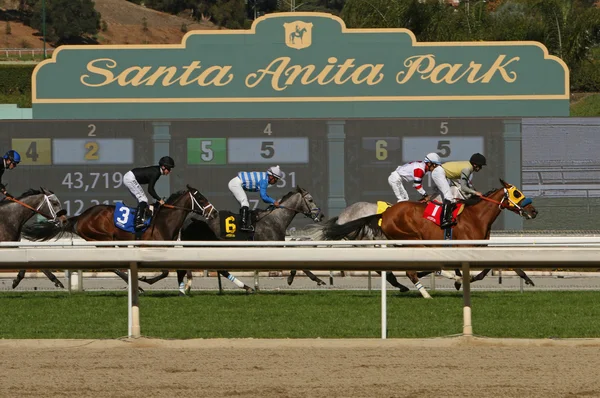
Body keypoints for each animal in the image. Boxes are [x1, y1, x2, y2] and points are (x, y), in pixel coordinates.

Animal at [21, 184, 213, 292]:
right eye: (201, 198)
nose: (213, 212)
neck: (164, 220)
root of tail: (81, 217)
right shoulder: (154, 248)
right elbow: (165, 272)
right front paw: (145, 280)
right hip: (104, 239)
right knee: (112, 265)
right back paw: (138, 286)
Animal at [180, 185, 326, 290]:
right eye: (310, 200)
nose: (321, 215)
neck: (275, 219)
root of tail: (191, 220)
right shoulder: (274, 246)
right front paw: (316, 279)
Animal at [314, 179, 540, 296]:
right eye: (517, 194)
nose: (534, 211)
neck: (475, 216)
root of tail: (384, 214)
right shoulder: (464, 246)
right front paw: (462, 280)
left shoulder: (478, 247)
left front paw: (527, 278)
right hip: (410, 240)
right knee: (407, 271)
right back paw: (423, 291)